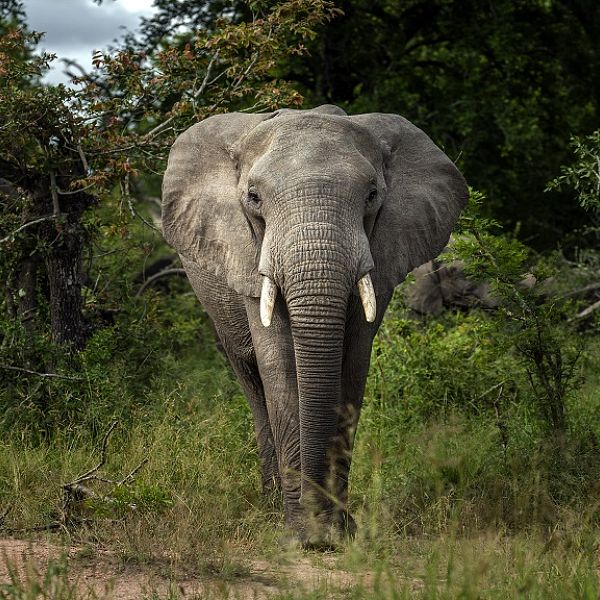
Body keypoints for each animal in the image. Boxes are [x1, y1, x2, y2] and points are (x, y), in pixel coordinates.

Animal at [161, 104, 468, 548]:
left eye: (372, 196)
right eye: (253, 198)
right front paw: (299, 535)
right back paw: (270, 505)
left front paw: (338, 533)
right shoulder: (248, 257)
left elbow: (352, 366)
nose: (318, 533)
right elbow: (279, 365)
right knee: (252, 383)